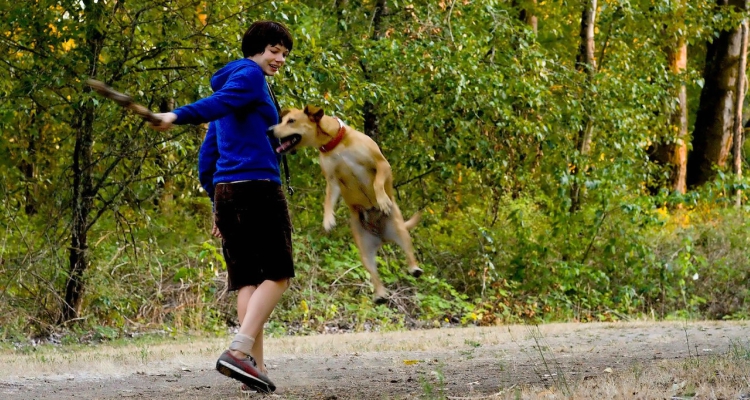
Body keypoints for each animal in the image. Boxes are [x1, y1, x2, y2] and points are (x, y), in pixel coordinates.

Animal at [268, 104, 424, 302]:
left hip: (400, 230)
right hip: (364, 250)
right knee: (373, 272)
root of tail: (383, 237)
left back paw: (414, 268)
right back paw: (380, 294)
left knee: (409, 252)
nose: (269, 130)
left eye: (291, 121)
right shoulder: (332, 180)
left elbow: (377, 183)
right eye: (282, 120)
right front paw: (328, 219)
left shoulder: (382, 164)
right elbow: (328, 200)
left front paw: (382, 199)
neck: (335, 144)